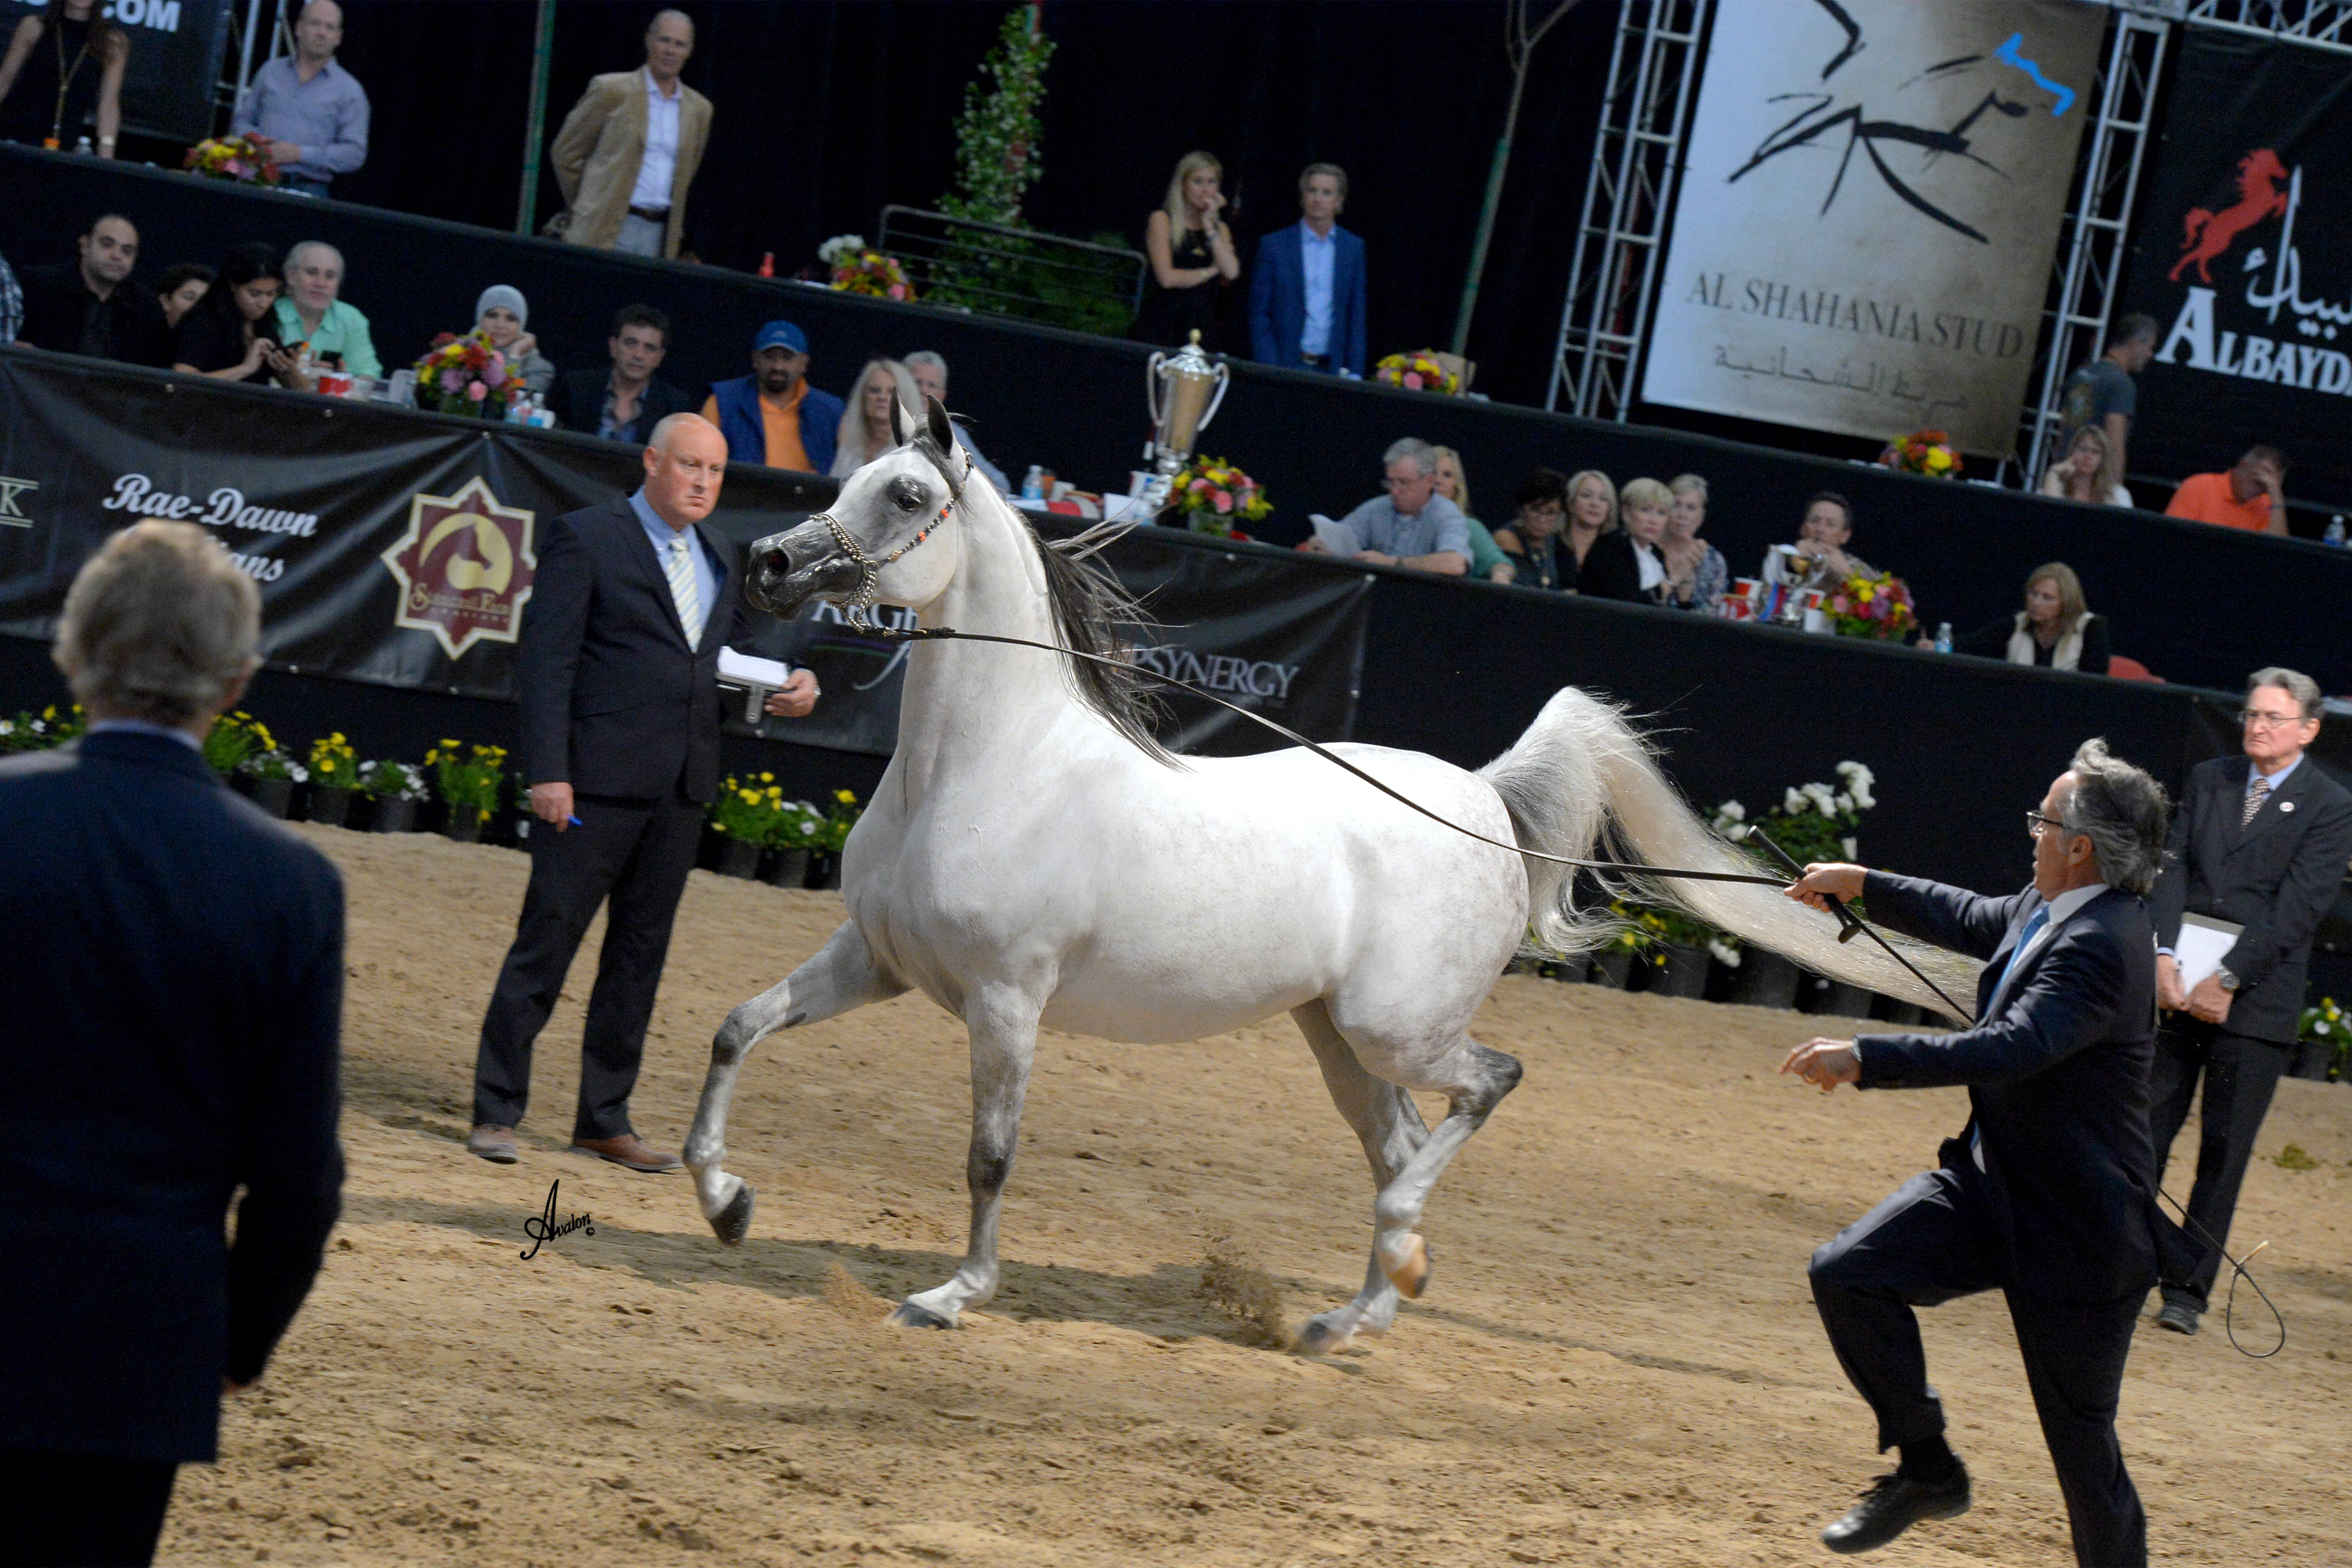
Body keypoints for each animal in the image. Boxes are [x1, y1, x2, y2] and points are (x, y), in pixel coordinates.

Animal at [687, 399, 1966, 1354]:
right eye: (851, 472)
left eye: (906, 497)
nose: (769, 561)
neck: (991, 768)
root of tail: (1486, 800)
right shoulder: (879, 962)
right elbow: (738, 1027)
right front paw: (725, 1203)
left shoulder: (1007, 1002)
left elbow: (989, 1155)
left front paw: (951, 1296)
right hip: (1339, 1039)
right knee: (1399, 1146)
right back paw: (1351, 1316)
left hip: (1396, 1027)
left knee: (1487, 1088)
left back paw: (1395, 1263)